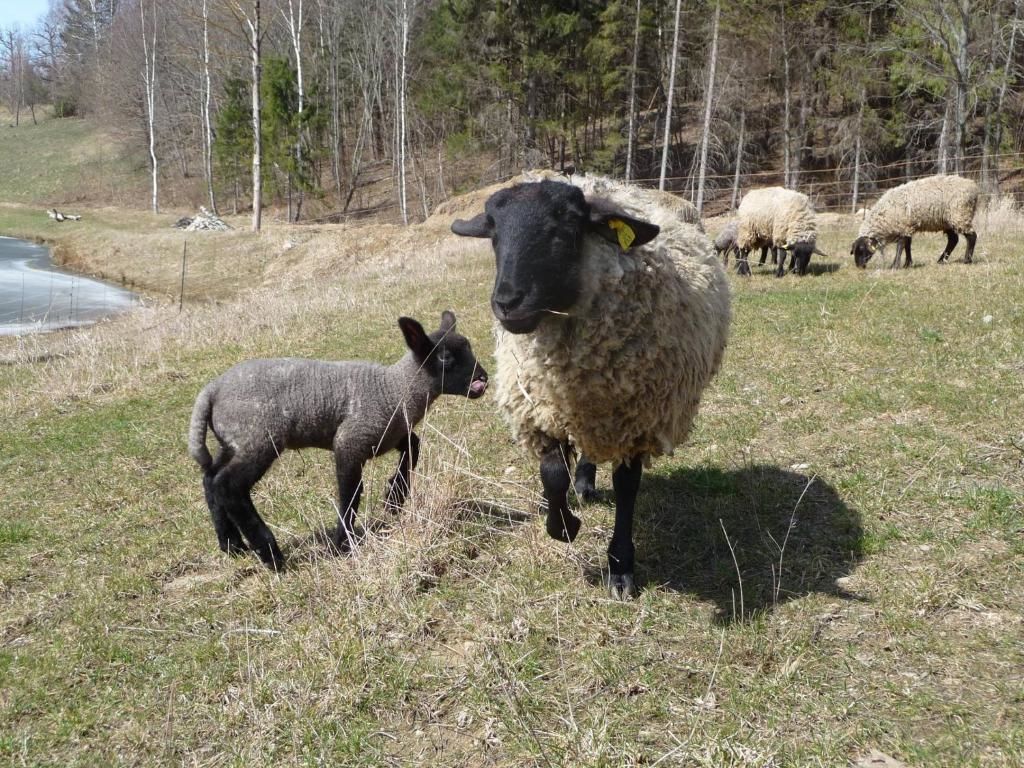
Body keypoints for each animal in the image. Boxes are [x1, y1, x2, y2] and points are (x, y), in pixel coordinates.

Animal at [189, 309, 491, 569]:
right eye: (445, 358)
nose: (483, 379)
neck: (394, 389)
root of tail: (212, 390)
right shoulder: (351, 441)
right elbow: (350, 493)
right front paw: (340, 545)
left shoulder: (387, 435)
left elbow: (413, 447)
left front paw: (394, 497)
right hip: (259, 438)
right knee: (228, 485)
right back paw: (271, 555)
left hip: (233, 442)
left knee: (211, 479)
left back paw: (231, 544)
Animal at [448, 174, 729, 602]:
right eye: (493, 233)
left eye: (565, 228)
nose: (507, 302)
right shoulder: (542, 410)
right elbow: (552, 475)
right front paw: (564, 525)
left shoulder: (638, 420)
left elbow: (627, 488)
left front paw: (621, 567)